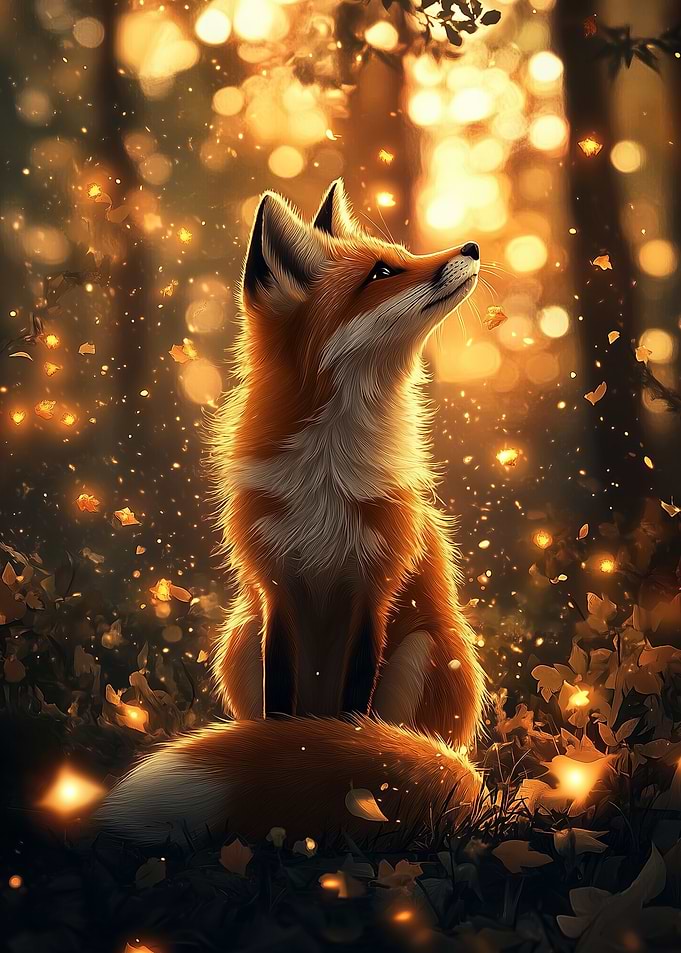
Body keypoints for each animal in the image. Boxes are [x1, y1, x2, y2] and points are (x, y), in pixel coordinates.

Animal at [96, 180, 487, 845]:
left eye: (400, 254)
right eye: (382, 272)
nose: (473, 245)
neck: (327, 473)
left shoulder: (372, 591)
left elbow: (353, 719)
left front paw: (341, 760)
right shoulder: (276, 589)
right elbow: (282, 713)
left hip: (427, 648)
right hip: (239, 637)